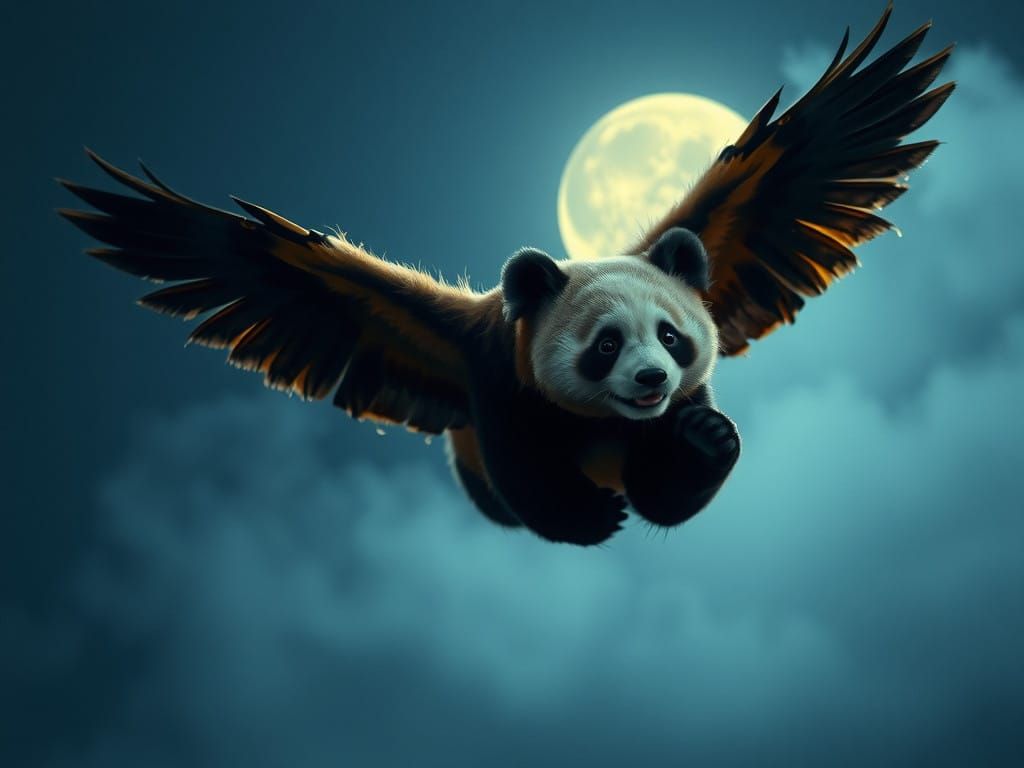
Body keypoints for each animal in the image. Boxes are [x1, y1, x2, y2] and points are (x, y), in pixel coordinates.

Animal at [58, 6, 953, 545]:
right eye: (604, 345)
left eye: (673, 336)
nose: (650, 381)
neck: (601, 423)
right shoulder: (495, 377)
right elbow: (530, 474)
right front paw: (593, 518)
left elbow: (673, 485)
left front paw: (701, 441)